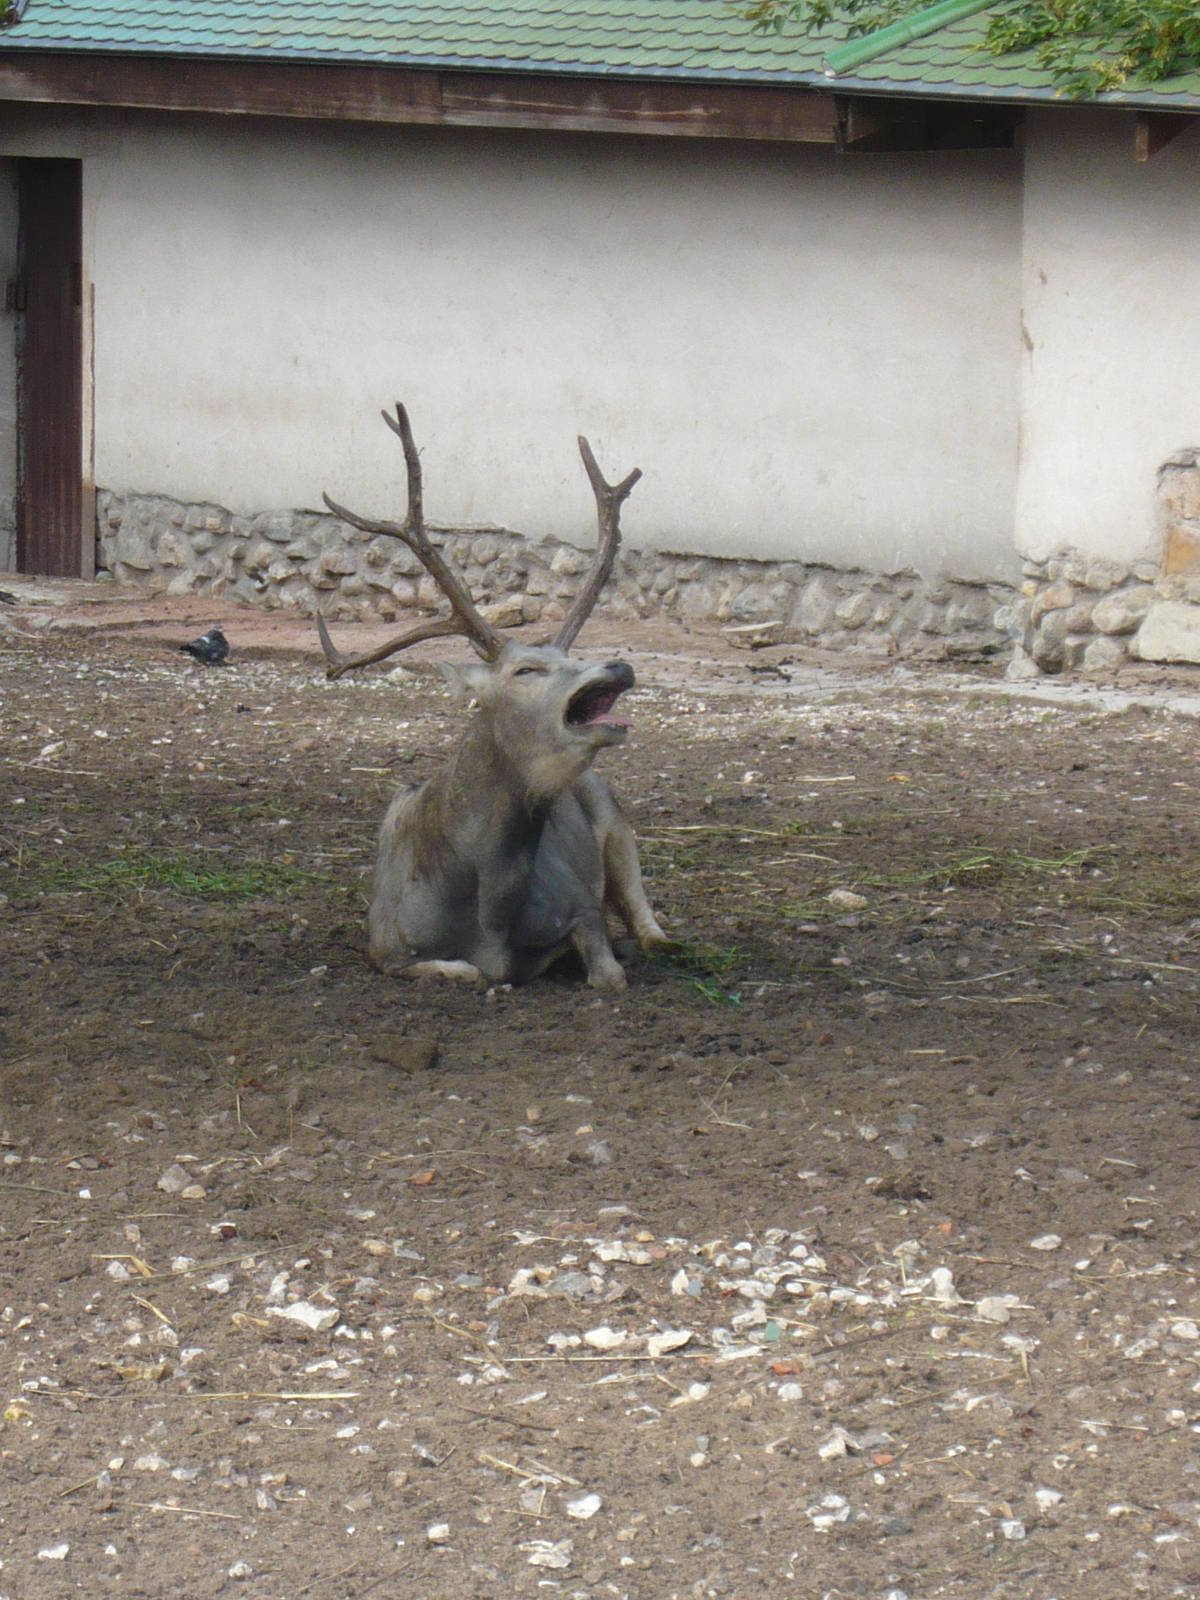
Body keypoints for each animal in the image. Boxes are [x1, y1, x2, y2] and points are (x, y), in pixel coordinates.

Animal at [318, 403, 673, 991]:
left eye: (573, 655)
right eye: (525, 669)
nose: (619, 664)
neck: (486, 908)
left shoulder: (579, 905)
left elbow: (605, 966)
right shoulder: (384, 945)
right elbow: (462, 972)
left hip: (612, 813)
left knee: (637, 897)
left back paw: (658, 940)